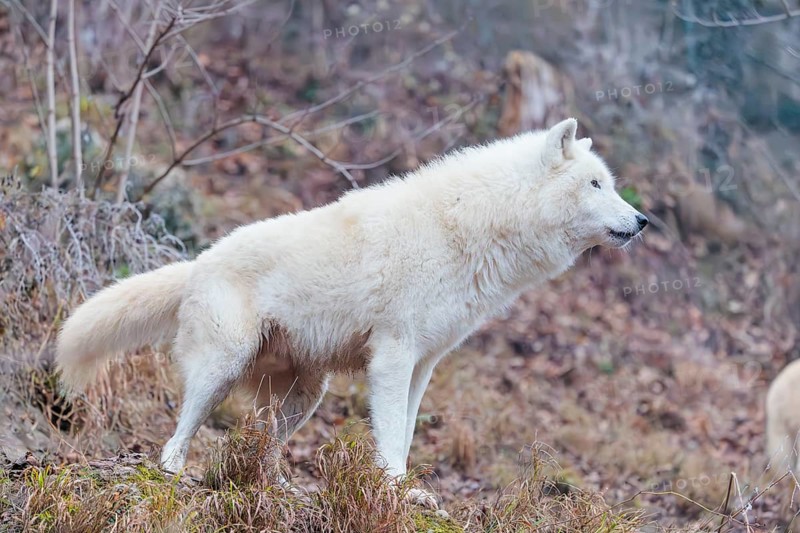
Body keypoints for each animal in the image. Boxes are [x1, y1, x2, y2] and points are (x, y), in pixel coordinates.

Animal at [56, 118, 647, 506]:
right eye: (595, 184)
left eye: (610, 184)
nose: (642, 220)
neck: (472, 227)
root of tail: (196, 262)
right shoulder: (392, 357)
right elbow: (389, 436)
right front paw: (393, 492)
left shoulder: (423, 365)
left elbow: (406, 433)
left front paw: (408, 492)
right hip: (221, 371)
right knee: (178, 434)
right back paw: (174, 472)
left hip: (303, 399)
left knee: (265, 448)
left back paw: (281, 488)